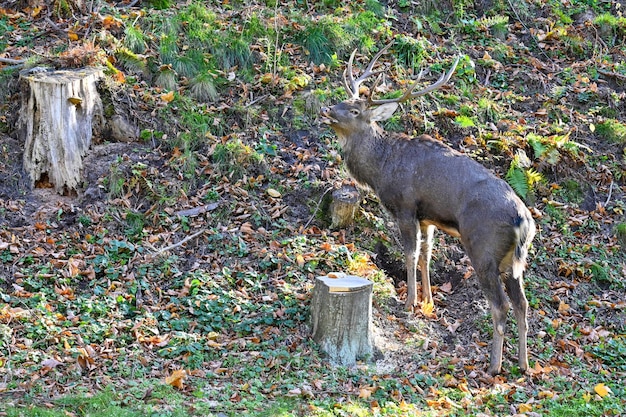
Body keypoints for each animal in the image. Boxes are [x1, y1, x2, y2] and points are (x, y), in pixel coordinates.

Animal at [320, 43, 532, 376]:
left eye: (355, 110)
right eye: (343, 100)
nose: (326, 110)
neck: (381, 170)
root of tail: (523, 221)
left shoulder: (406, 206)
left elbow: (410, 253)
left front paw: (409, 302)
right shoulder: (428, 218)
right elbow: (426, 255)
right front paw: (428, 301)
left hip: (484, 249)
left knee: (501, 306)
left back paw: (494, 366)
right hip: (513, 261)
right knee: (523, 305)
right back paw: (523, 365)